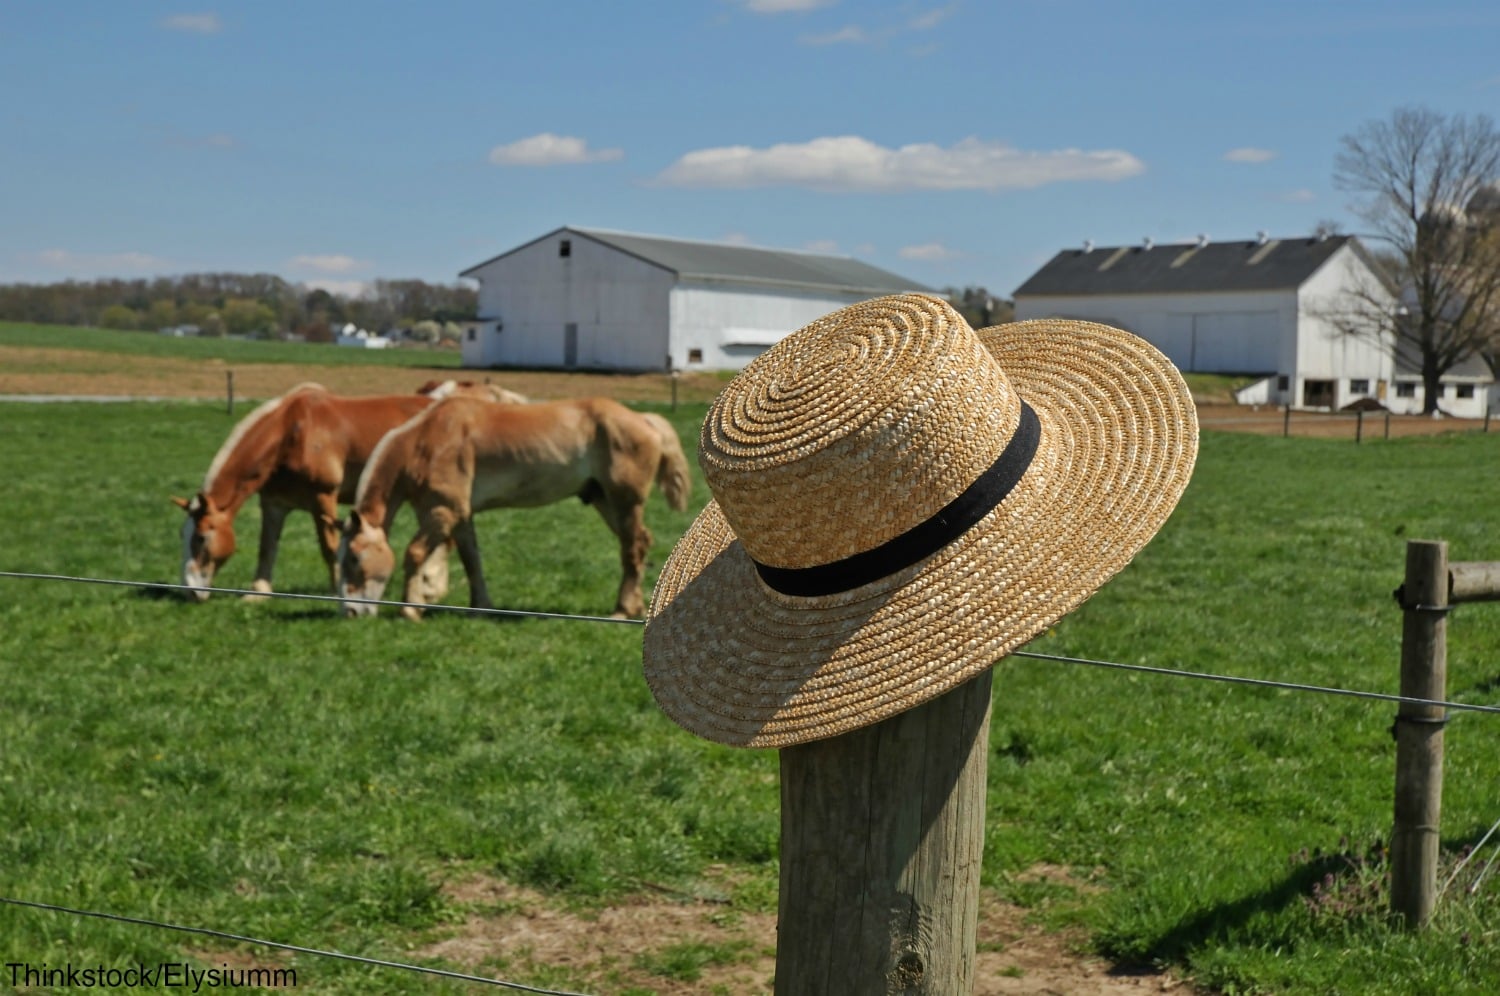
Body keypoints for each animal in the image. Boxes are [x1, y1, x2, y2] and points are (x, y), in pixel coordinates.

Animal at [174, 379, 525, 600]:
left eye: (201, 537)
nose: (189, 590)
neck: (291, 431)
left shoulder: (323, 498)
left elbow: (329, 548)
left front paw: (336, 589)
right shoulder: (274, 502)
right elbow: (267, 547)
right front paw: (257, 593)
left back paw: (431, 589)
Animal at [339, 396, 690, 624]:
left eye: (355, 557)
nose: (351, 612)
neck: (426, 441)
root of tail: (644, 419)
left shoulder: (442, 513)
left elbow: (414, 554)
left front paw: (409, 609)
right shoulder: (461, 517)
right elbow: (472, 561)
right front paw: (481, 607)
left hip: (624, 502)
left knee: (632, 549)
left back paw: (621, 609)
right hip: (604, 501)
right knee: (640, 543)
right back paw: (634, 607)